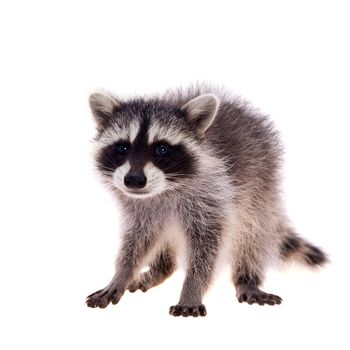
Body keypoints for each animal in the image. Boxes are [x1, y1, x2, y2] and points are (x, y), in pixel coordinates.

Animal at [86, 85, 326, 318]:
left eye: (162, 148)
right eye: (122, 147)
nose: (134, 180)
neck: (164, 191)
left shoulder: (214, 195)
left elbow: (207, 247)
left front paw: (192, 289)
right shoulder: (141, 210)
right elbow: (137, 240)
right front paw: (122, 274)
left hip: (262, 187)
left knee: (253, 233)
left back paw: (246, 278)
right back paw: (161, 268)